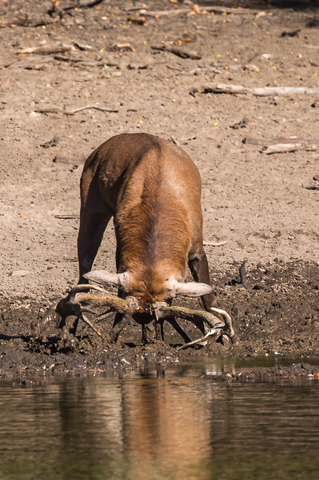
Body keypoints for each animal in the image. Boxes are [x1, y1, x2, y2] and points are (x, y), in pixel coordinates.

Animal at [39, 133, 235, 346]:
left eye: (169, 300)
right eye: (136, 309)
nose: (144, 318)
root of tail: (99, 149)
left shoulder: (197, 248)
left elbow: (208, 297)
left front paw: (224, 338)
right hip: (91, 208)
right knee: (84, 272)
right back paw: (69, 331)